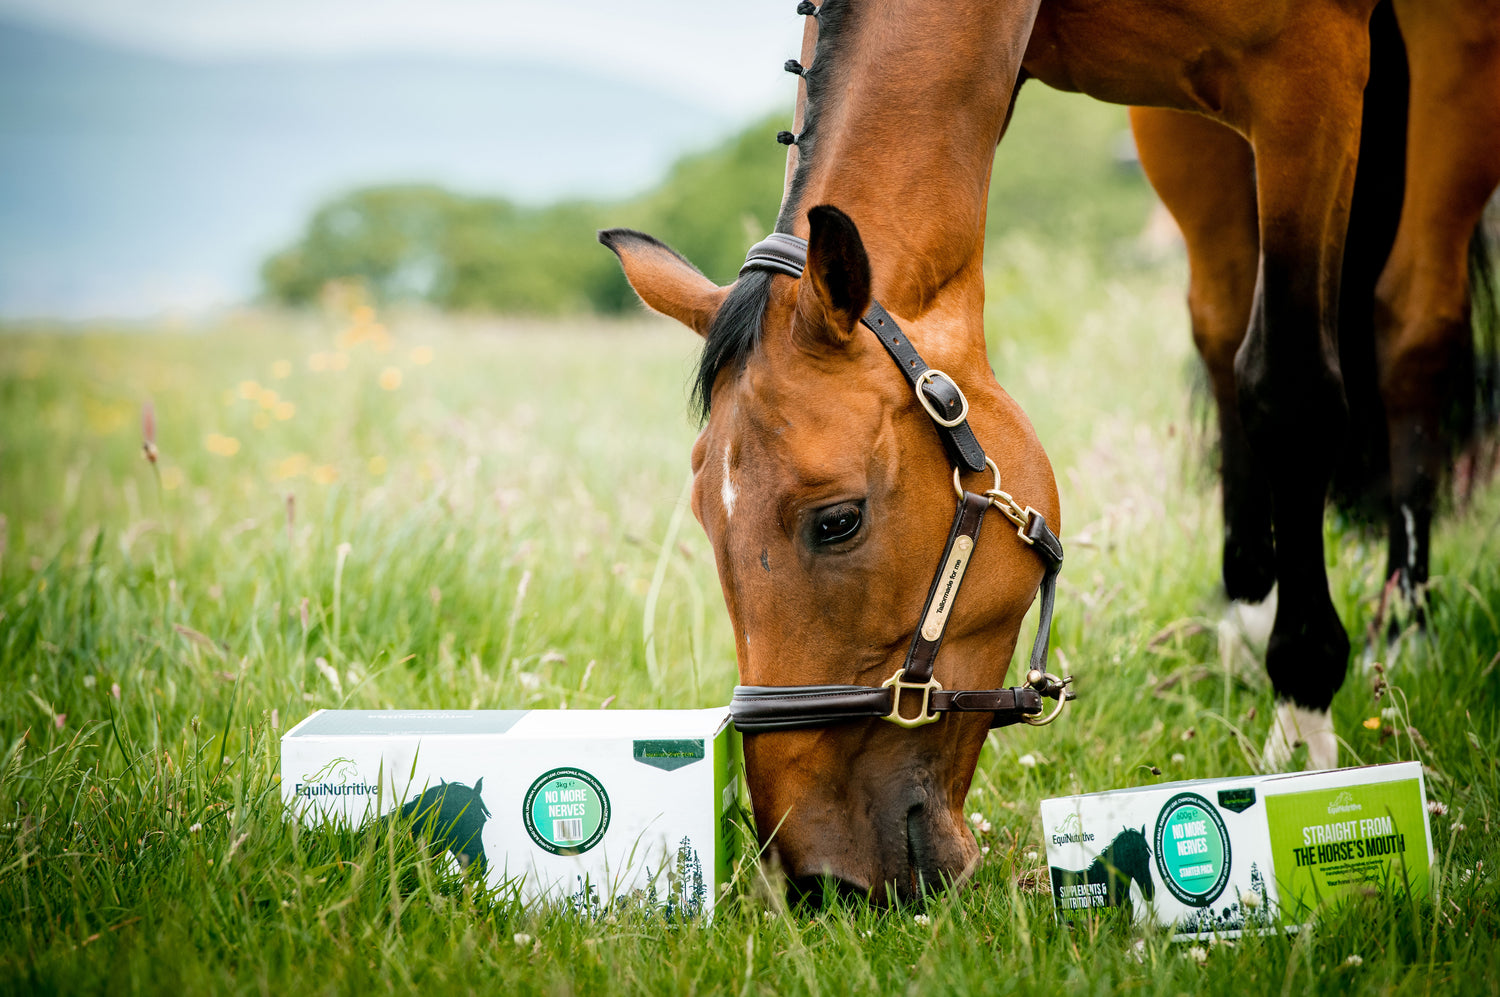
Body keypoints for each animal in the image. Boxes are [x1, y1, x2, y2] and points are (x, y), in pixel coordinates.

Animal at [1122, 0, 1500, 767]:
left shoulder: (1305, 68)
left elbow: (1291, 387)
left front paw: (1302, 690)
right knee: (1226, 316)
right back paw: (1255, 607)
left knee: (1413, 322)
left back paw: (1405, 623)